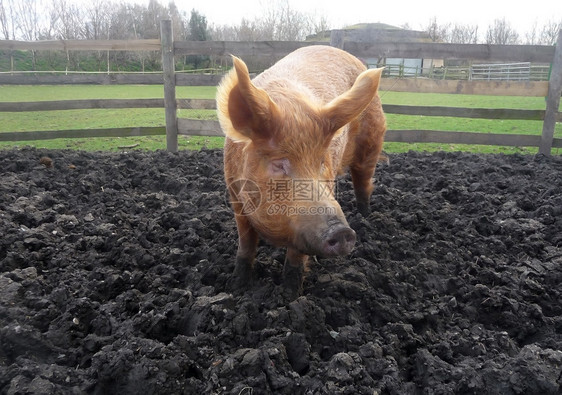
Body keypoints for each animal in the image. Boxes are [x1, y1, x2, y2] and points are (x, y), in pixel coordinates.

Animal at [214, 44, 384, 296]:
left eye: (321, 162)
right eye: (278, 163)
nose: (342, 232)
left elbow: (296, 258)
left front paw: (289, 296)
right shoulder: (235, 195)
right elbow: (245, 245)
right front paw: (236, 287)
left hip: (372, 143)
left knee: (363, 182)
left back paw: (365, 218)